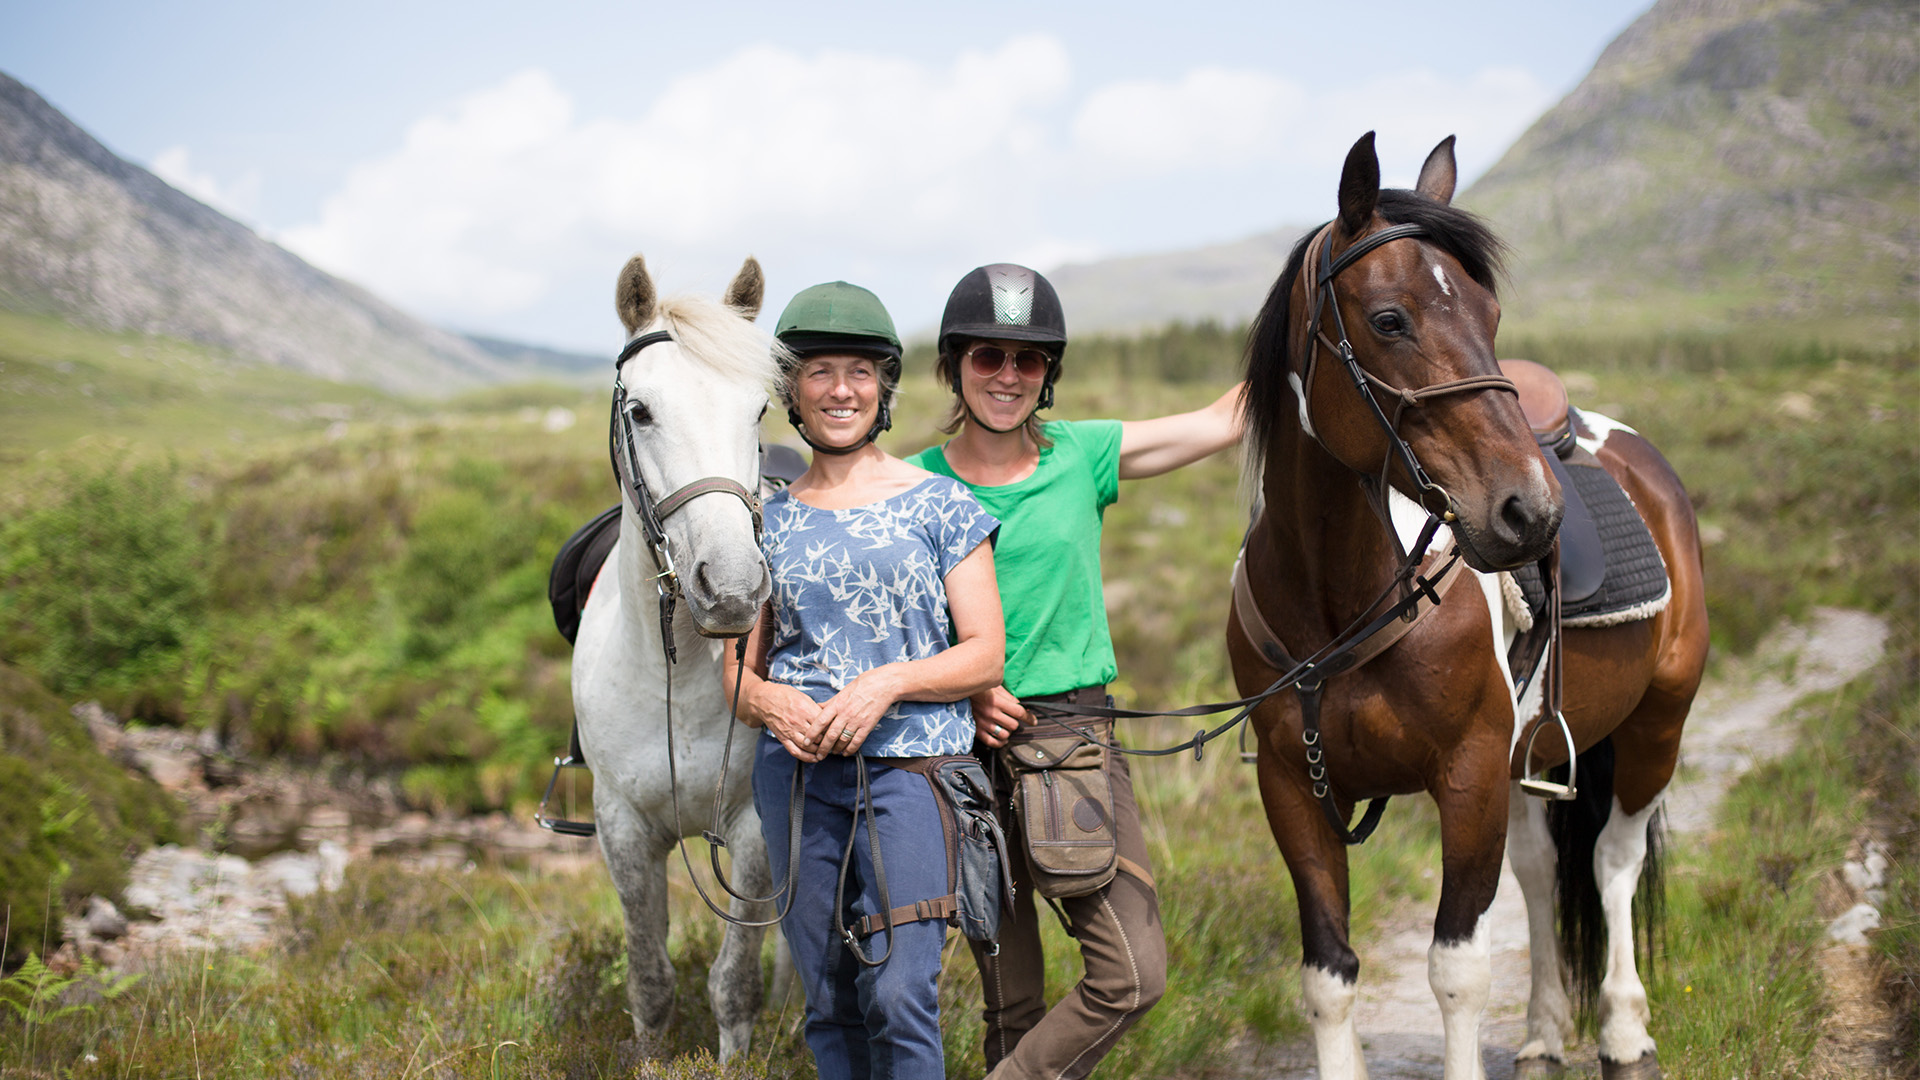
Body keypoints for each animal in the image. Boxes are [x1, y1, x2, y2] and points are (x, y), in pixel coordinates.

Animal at [568, 253, 787, 1060]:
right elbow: (650, 980)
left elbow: (733, 982)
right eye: (641, 412)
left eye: (758, 411)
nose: (732, 589)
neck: (680, 669)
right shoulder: (623, 828)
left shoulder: (755, 826)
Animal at [1228, 134, 1712, 1076]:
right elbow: (1328, 976)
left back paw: (1622, 1027)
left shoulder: (1468, 773)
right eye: (1390, 320)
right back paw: (1545, 1031)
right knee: (1540, 869)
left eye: (1489, 315)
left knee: (1613, 860)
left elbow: (1457, 969)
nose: (1531, 512)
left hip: (1657, 722)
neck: (1337, 606)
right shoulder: (1293, 791)